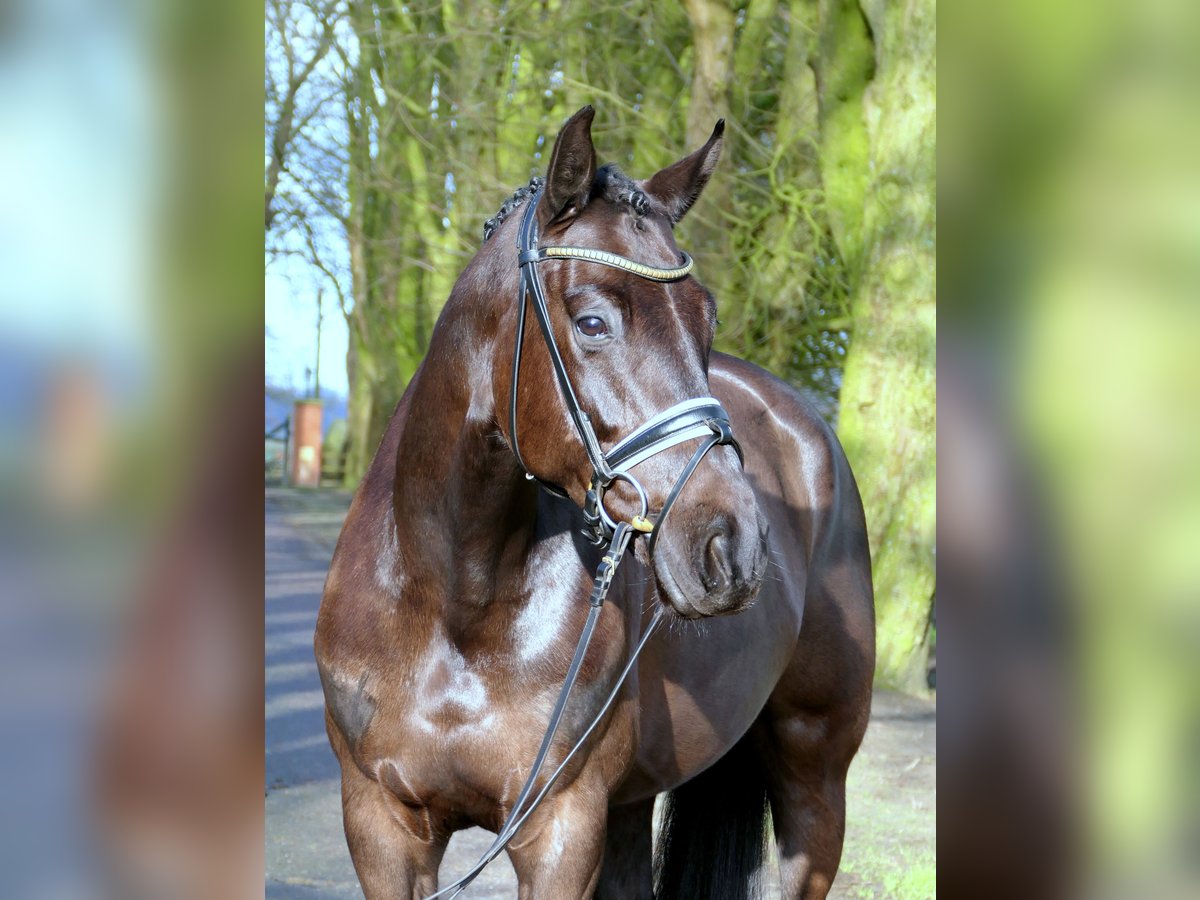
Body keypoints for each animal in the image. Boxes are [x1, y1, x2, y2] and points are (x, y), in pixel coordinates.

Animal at [312, 107, 873, 900]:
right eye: (592, 322)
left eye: (706, 320)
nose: (731, 547)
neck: (453, 602)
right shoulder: (381, 827)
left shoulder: (560, 828)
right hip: (632, 804)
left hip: (815, 774)